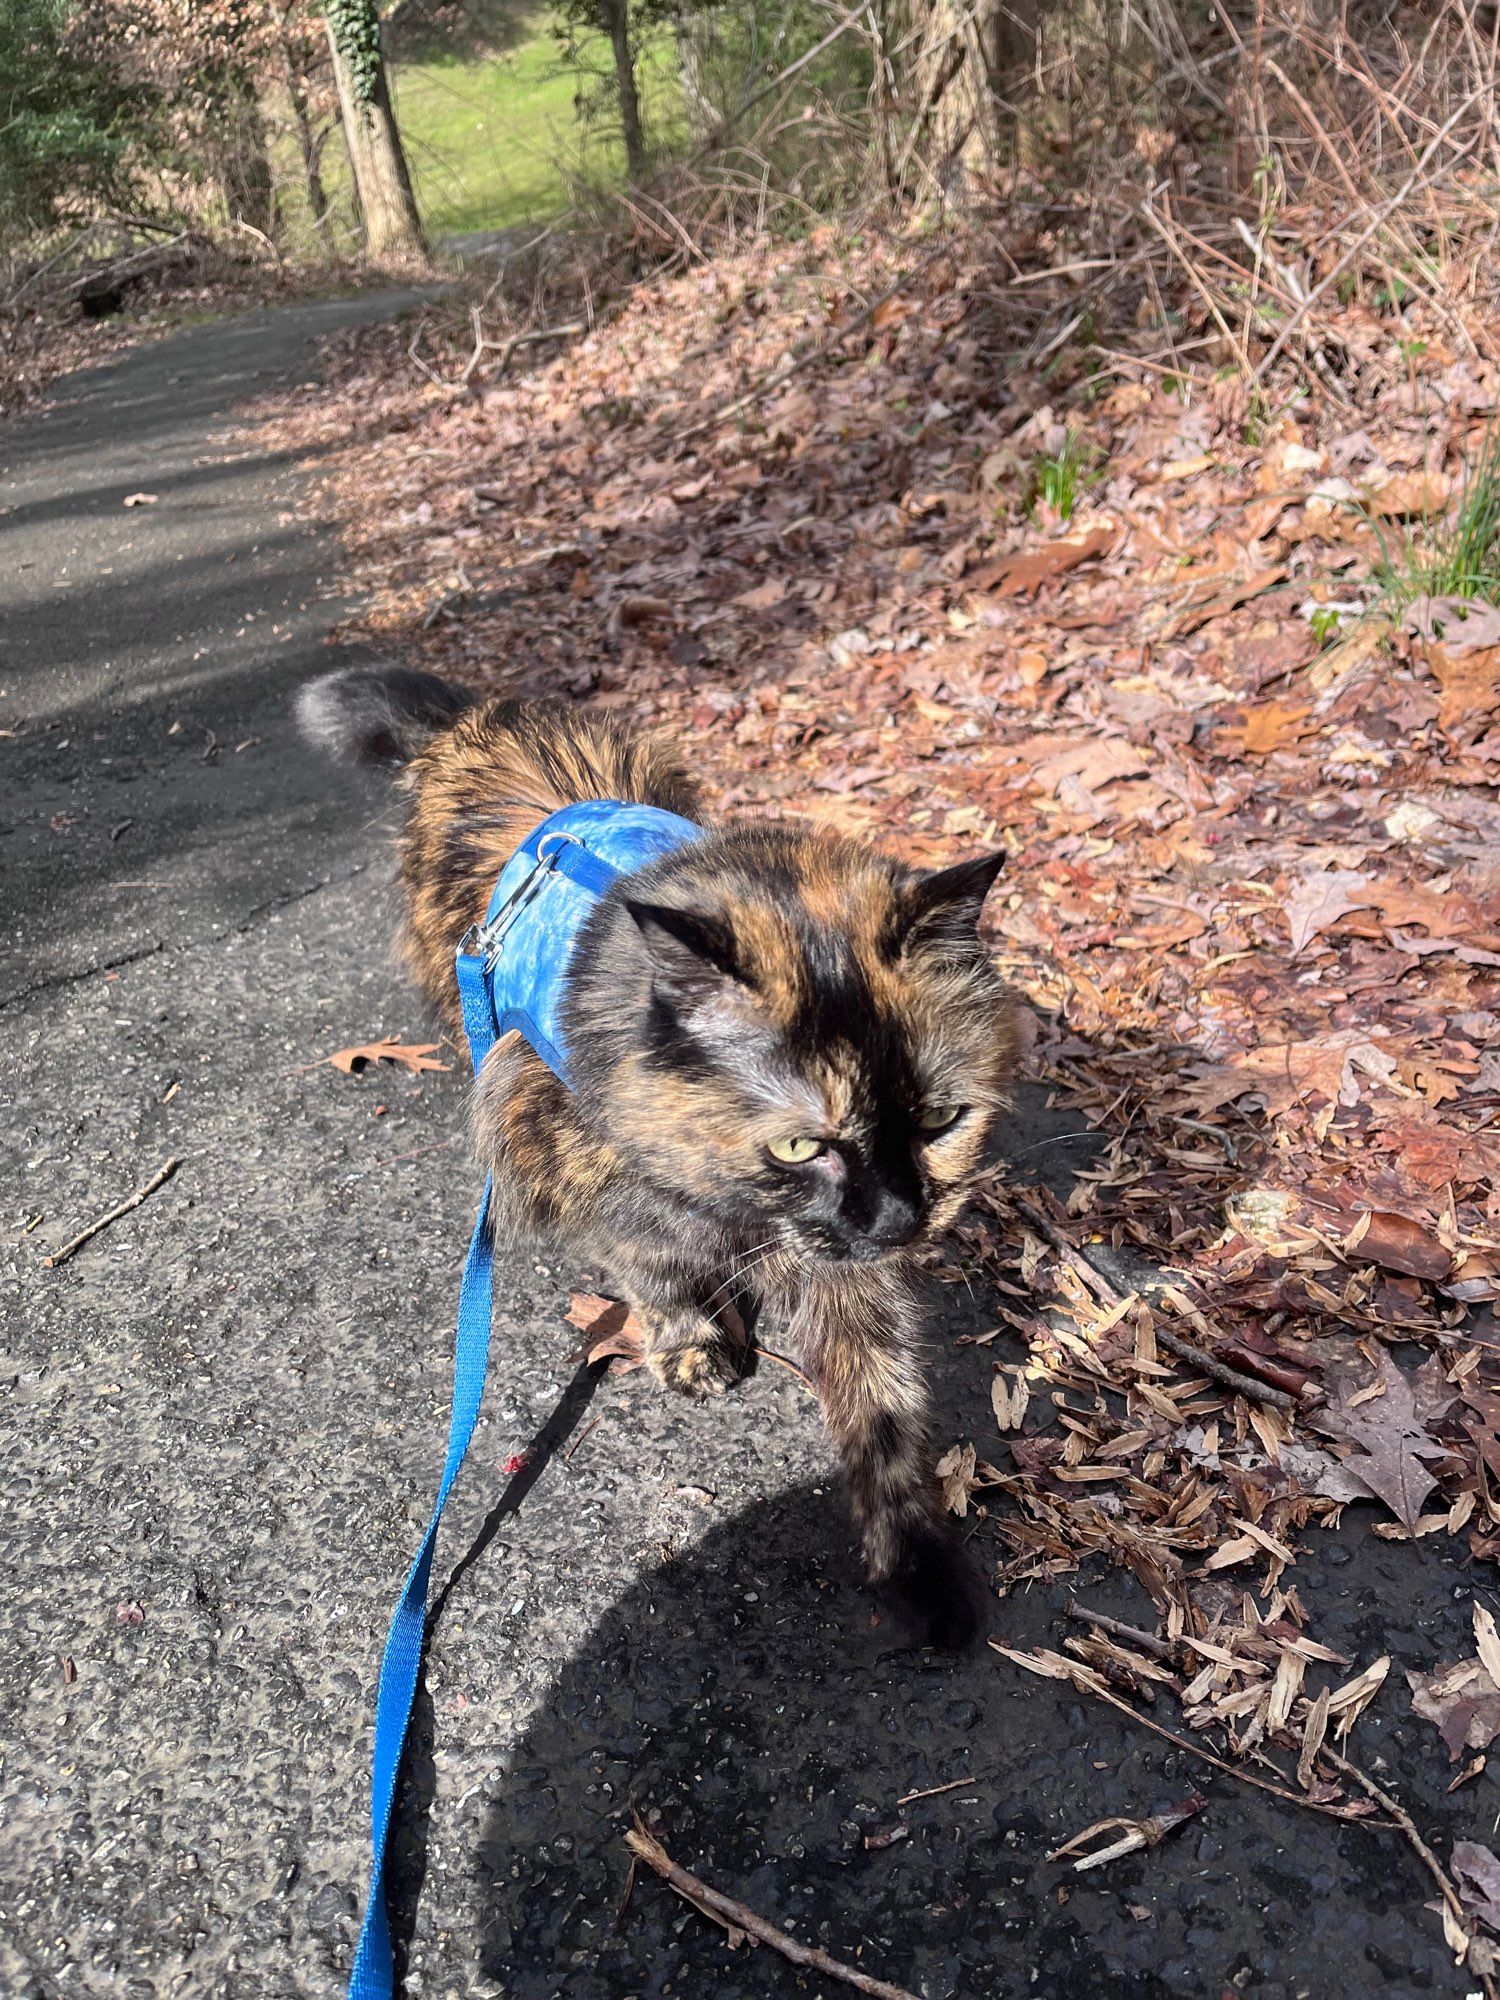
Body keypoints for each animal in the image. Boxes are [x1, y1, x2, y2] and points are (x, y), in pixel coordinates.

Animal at [302, 668, 1024, 1640]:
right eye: (800, 1144)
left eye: (942, 1119)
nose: (903, 1219)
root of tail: (473, 720)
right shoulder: (584, 1175)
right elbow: (655, 1268)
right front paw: (687, 1342)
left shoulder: (846, 1267)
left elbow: (882, 1399)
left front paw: (916, 1564)